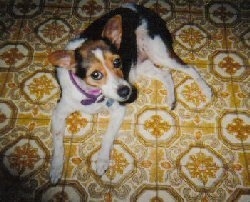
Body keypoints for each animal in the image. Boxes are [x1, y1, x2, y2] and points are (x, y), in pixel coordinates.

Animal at [47, 3, 212, 184]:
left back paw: (206, 90)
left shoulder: (119, 109)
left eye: (117, 62)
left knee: (190, 68)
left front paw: (102, 160)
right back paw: (171, 98)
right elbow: (57, 141)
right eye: (95, 74)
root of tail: (142, 8)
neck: (92, 95)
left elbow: (108, 136)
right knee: (166, 74)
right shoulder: (58, 112)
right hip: (140, 64)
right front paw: (55, 167)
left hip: (159, 54)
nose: (126, 91)